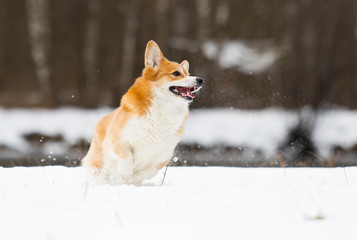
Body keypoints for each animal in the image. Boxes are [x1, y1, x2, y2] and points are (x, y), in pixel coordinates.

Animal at [81, 40, 203, 184]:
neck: (163, 108)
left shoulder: (161, 158)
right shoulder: (117, 140)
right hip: (98, 162)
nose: (200, 80)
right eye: (176, 73)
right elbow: (126, 157)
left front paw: (129, 180)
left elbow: (144, 172)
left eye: (187, 73)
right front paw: (125, 172)